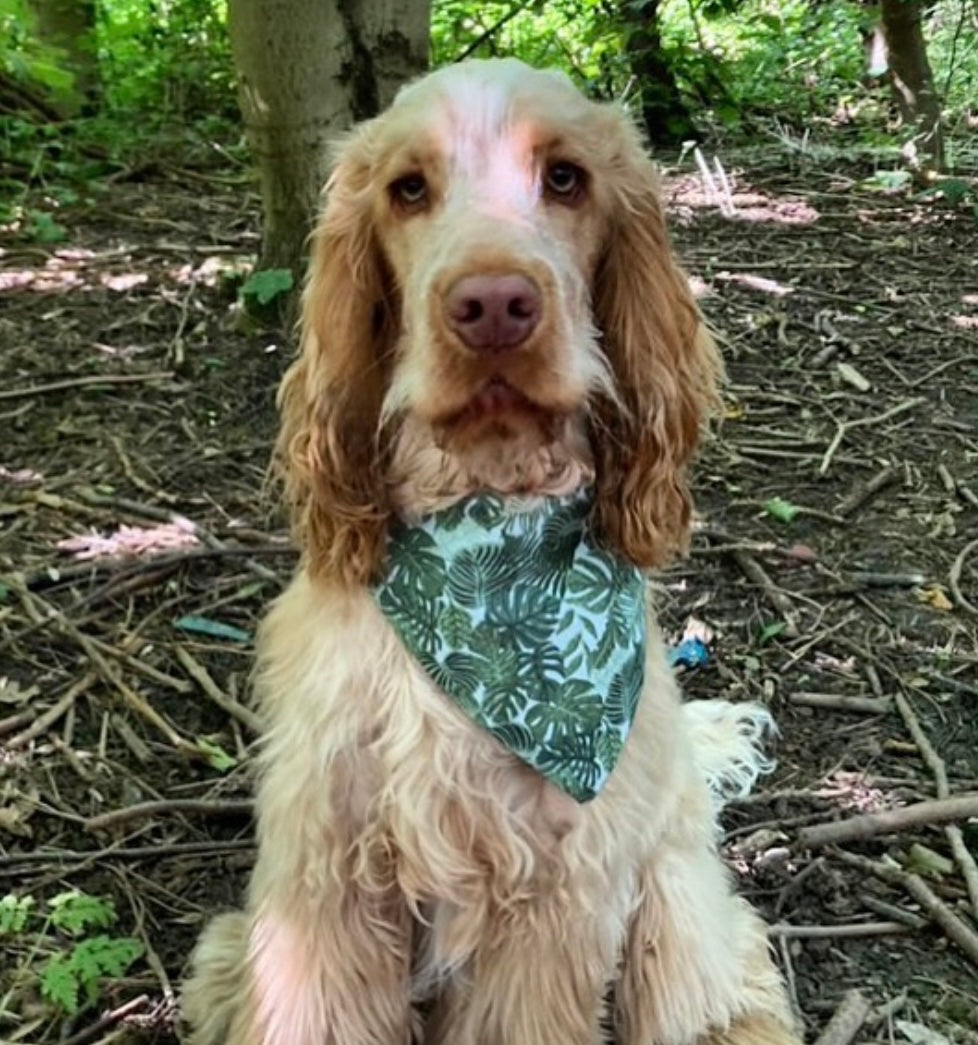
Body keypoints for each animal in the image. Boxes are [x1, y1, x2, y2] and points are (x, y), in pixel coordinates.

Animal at [184, 59, 802, 1045]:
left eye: (566, 178)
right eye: (407, 188)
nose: (494, 307)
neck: (484, 554)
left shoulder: (558, 886)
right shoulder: (326, 867)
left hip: (667, 897)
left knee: (725, 977)